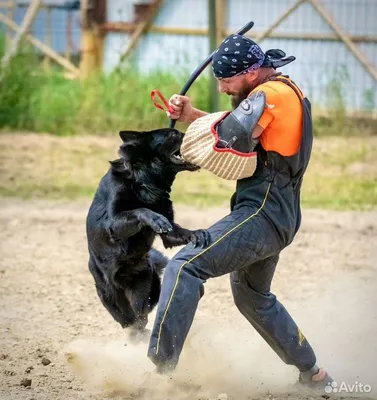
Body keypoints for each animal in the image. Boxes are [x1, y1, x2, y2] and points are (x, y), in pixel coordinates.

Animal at [85, 127, 209, 338]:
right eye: (173, 134)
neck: (144, 179)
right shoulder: (114, 225)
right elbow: (140, 210)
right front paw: (155, 219)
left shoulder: (169, 234)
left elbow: (178, 231)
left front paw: (196, 233)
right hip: (112, 297)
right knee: (129, 321)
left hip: (144, 287)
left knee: (140, 317)